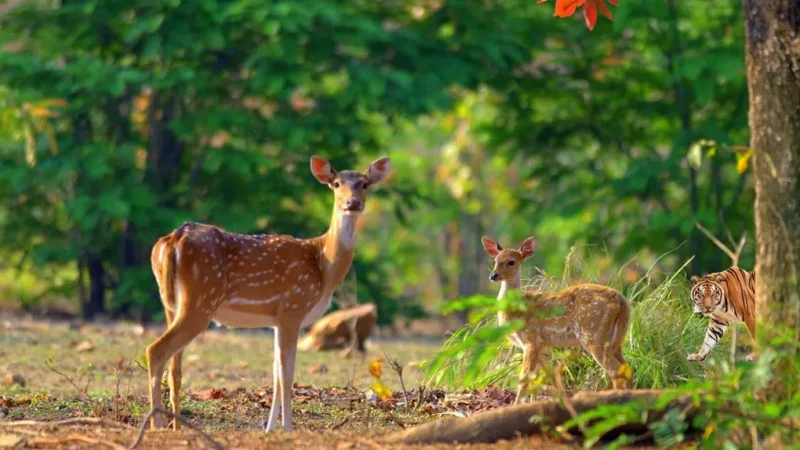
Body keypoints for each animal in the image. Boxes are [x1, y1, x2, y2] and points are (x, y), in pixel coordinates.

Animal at [149, 156, 390, 430]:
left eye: (364, 184)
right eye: (336, 183)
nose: (353, 203)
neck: (323, 265)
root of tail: (173, 239)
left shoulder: (276, 319)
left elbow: (275, 374)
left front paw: (270, 429)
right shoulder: (293, 307)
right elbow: (286, 374)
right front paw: (287, 428)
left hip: (170, 302)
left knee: (174, 366)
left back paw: (175, 426)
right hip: (201, 299)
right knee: (156, 351)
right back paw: (156, 425)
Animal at [482, 236, 632, 400]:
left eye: (511, 261)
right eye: (495, 260)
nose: (493, 275)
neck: (518, 310)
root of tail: (621, 303)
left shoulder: (531, 339)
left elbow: (524, 380)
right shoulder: (541, 345)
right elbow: (538, 380)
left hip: (594, 335)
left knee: (616, 371)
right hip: (616, 340)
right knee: (627, 369)